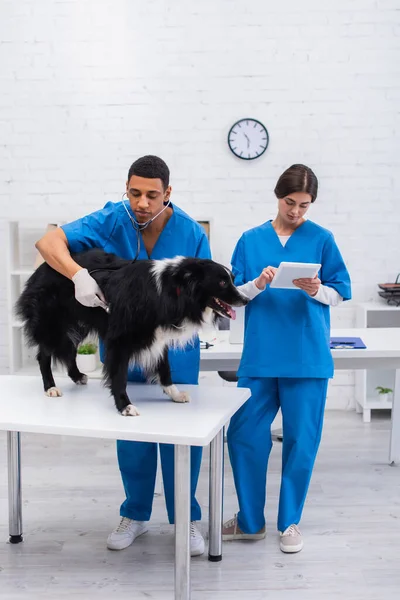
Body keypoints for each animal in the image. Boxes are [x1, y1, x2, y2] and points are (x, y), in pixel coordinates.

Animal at [16, 250, 250, 418]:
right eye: (222, 282)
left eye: (231, 278)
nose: (246, 299)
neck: (171, 290)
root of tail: (40, 269)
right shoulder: (120, 339)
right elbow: (120, 375)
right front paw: (125, 406)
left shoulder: (158, 337)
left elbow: (165, 368)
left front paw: (174, 393)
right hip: (53, 323)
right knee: (45, 354)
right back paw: (51, 387)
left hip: (78, 322)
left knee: (70, 349)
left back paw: (77, 376)